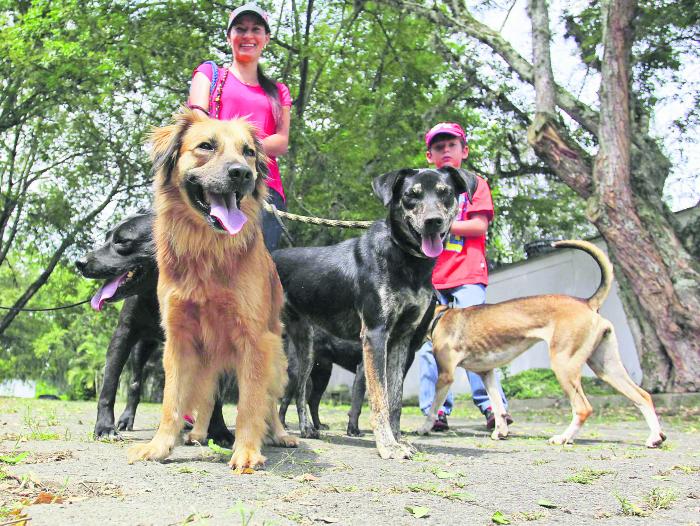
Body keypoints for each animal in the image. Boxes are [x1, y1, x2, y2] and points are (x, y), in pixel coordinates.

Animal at [127, 108, 296, 470]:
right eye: (206, 146)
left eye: (249, 152)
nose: (242, 174)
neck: (208, 250)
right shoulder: (178, 339)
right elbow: (171, 401)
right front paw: (160, 446)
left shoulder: (254, 339)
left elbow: (251, 403)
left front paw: (246, 451)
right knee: (205, 398)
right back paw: (198, 433)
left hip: (275, 355)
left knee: (271, 401)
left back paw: (280, 434)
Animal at [270, 170, 474, 462]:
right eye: (411, 195)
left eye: (445, 192)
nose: (432, 222)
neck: (404, 258)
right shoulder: (376, 336)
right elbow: (379, 398)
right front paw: (387, 446)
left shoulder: (400, 341)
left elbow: (395, 400)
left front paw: (399, 440)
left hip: (307, 349)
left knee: (299, 393)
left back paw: (307, 429)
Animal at [418, 241, 664, 452]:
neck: (439, 317)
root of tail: (587, 302)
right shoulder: (486, 373)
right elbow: (498, 407)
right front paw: (501, 431)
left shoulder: (446, 376)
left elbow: (433, 408)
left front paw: (424, 428)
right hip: (606, 367)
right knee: (643, 396)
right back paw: (655, 437)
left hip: (564, 364)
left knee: (583, 408)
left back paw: (563, 438)